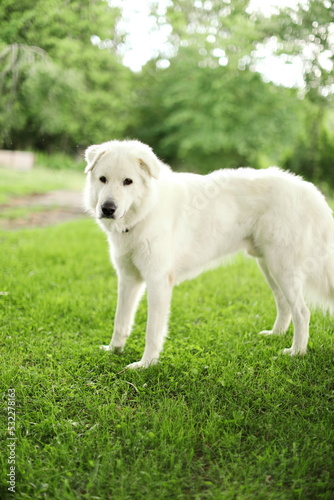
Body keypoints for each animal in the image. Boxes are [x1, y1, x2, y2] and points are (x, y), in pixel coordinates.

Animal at [84, 140, 334, 368]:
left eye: (128, 181)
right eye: (103, 179)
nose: (107, 209)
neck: (145, 211)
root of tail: (308, 189)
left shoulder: (158, 281)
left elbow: (152, 331)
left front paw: (146, 365)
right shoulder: (128, 278)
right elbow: (120, 321)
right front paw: (114, 350)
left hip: (282, 268)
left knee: (302, 312)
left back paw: (296, 352)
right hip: (269, 267)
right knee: (284, 305)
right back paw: (276, 335)